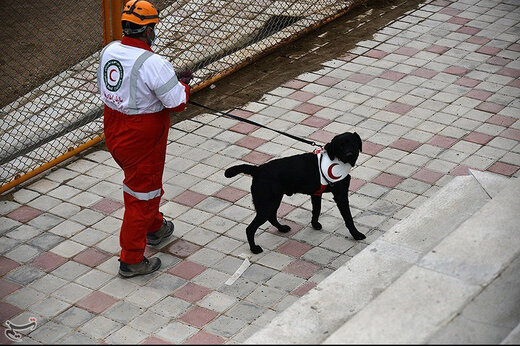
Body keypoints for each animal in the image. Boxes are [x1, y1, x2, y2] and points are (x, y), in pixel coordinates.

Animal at [224, 131, 366, 253]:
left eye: (353, 143)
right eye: (340, 146)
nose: (349, 155)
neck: (336, 160)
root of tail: (257, 170)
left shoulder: (316, 194)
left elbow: (316, 210)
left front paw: (315, 224)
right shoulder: (341, 196)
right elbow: (348, 218)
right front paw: (356, 234)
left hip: (273, 201)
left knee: (272, 217)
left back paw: (282, 228)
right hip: (267, 204)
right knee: (250, 228)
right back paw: (254, 249)